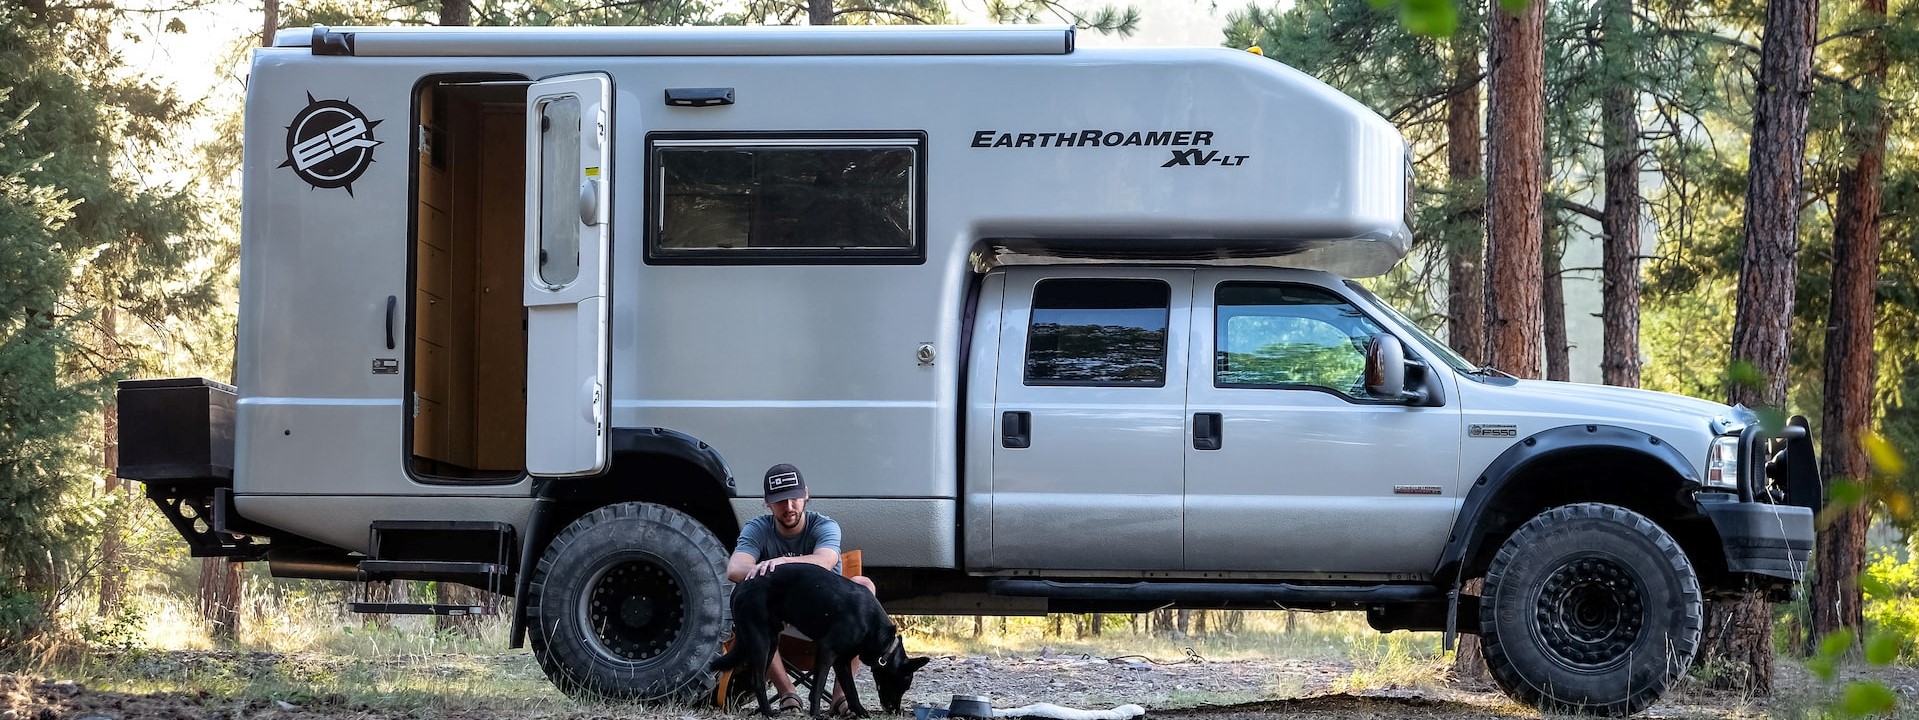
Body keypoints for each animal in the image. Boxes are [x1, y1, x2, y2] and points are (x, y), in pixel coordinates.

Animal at [717, 568, 932, 718]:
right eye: (903, 685)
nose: (895, 711)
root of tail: (740, 586)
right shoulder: (827, 650)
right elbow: (818, 687)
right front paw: (816, 714)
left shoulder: (842, 661)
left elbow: (851, 690)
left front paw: (860, 712)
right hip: (760, 641)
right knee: (758, 680)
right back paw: (768, 713)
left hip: (771, 642)